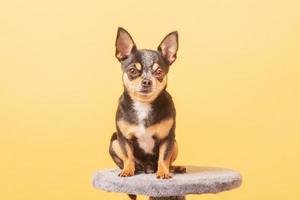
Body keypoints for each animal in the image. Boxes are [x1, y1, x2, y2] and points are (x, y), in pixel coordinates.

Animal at [109, 27, 185, 188]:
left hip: (175, 143)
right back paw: (135, 168)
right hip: (113, 140)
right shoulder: (123, 138)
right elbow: (128, 155)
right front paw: (128, 170)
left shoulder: (168, 138)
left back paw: (174, 168)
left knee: (167, 161)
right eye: (132, 71)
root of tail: (147, 168)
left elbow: (164, 157)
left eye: (159, 72)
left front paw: (163, 173)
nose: (146, 81)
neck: (143, 104)